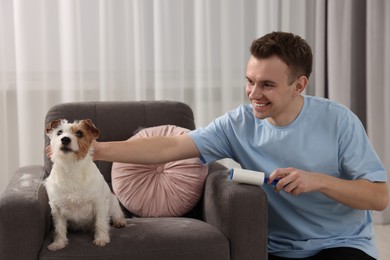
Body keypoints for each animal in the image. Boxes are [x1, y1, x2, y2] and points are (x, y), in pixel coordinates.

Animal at [45, 119, 125, 251]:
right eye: (59, 132)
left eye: (79, 133)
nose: (65, 139)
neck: (71, 167)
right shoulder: (57, 207)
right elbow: (59, 227)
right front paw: (58, 243)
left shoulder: (99, 203)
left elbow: (101, 222)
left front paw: (101, 239)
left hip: (113, 203)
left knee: (117, 214)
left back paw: (120, 222)